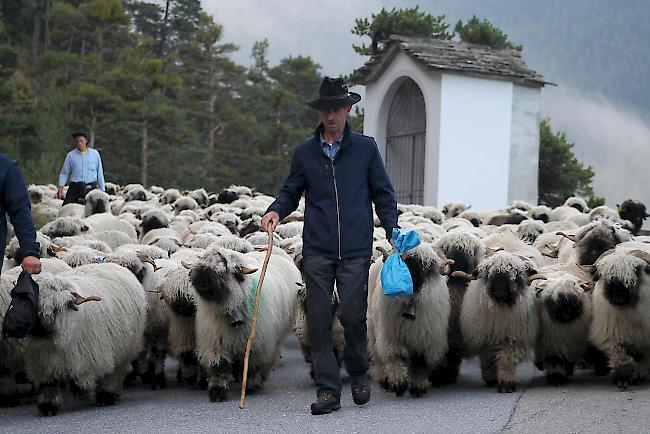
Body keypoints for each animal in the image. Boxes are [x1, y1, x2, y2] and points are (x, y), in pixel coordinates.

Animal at [187, 246, 298, 402]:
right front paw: (217, 391)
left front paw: (251, 384)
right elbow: (219, 366)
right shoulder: (214, 341)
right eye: (202, 261)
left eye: (223, 266)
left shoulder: (257, 344)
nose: (202, 283)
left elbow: (252, 365)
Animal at [456, 251, 540, 394]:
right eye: (489, 274)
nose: (500, 290)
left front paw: (506, 384)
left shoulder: (513, 339)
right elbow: (488, 360)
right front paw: (491, 378)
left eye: (515, 274)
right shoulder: (486, 339)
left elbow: (507, 360)